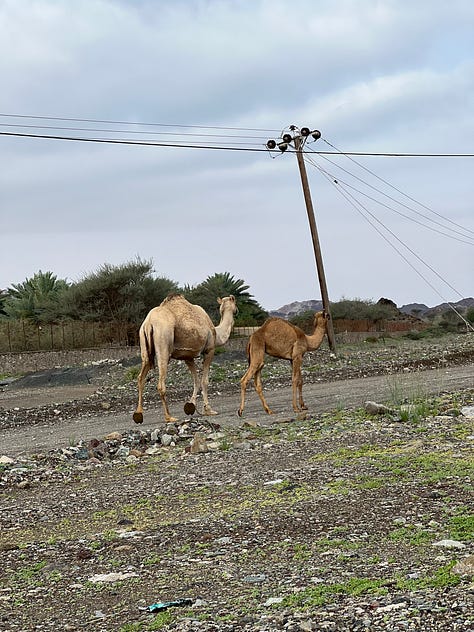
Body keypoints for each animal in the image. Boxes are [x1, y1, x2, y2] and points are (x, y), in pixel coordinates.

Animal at [133, 294, 237, 423]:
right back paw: (169, 417)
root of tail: (148, 323)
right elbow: (204, 380)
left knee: (141, 378)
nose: (237, 310)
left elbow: (195, 380)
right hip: (163, 342)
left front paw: (191, 406)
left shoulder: (188, 356)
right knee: (160, 383)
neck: (217, 334)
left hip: (144, 346)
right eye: (235, 305)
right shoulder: (209, 350)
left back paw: (138, 414)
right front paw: (208, 410)